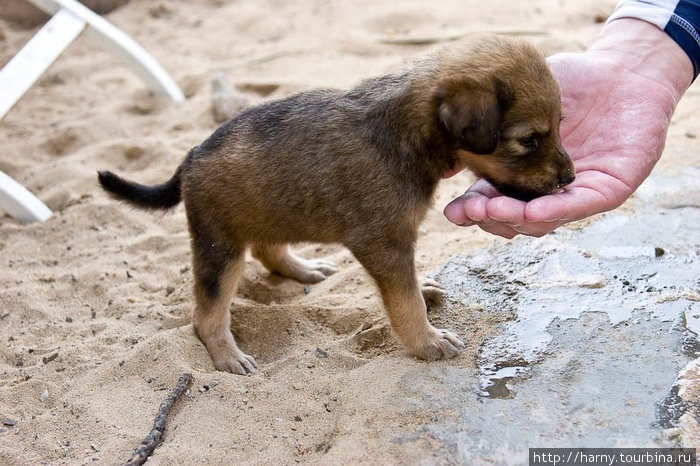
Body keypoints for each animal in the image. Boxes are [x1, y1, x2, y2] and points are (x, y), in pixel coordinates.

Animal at [97, 35, 576, 374]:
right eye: (529, 140)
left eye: (559, 125)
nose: (569, 178)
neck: (405, 132)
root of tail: (191, 156)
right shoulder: (383, 242)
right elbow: (405, 301)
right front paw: (426, 341)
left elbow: (409, 288)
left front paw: (424, 297)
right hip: (221, 247)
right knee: (207, 314)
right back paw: (226, 355)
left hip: (271, 211)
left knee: (267, 250)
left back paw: (303, 269)